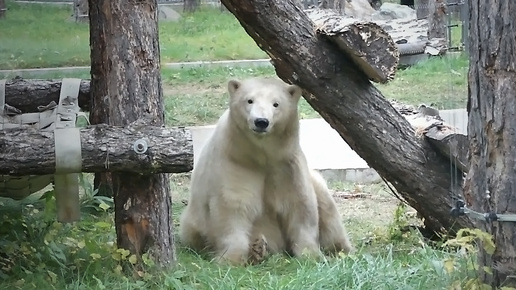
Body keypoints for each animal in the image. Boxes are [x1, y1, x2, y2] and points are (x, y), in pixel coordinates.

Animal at [179, 76, 352, 266]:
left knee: (326, 205)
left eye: (276, 104)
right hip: (192, 225)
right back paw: (258, 250)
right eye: (249, 100)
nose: (261, 121)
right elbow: (232, 208)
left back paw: (340, 250)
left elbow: (300, 206)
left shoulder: (286, 165)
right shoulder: (234, 162)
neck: (261, 155)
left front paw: (311, 256)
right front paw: (230, 259)